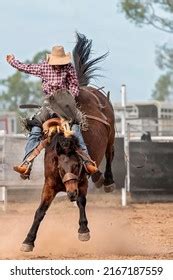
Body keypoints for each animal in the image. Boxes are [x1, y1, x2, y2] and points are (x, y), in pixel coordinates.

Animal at [20, 32, 115, 252]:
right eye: (60, 167)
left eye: (77, 165)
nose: (69, 193)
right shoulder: (49, 185)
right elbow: (40, 211)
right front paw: (28, 240)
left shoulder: (81, 182)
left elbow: (81, 201)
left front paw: (83, 230)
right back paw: (98, 177)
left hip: (112, 135)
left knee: (109, 154)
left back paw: (107, 181)